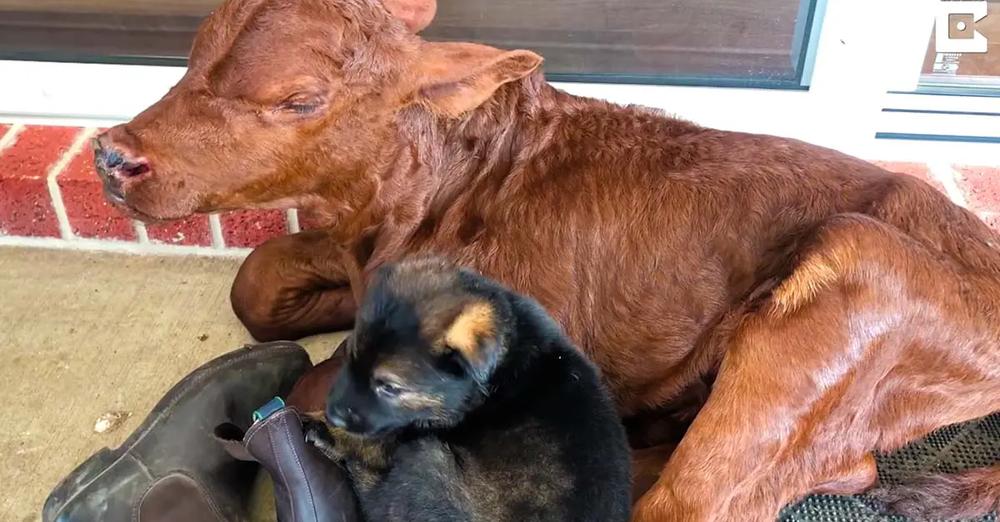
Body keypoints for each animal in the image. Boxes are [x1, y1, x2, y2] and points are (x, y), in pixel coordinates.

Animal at [308, 258, 628, 520]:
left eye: (388, 387)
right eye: (349, 355)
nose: (332, 413)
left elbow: (375, 441)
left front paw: (328, 430)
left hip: (424, 458)